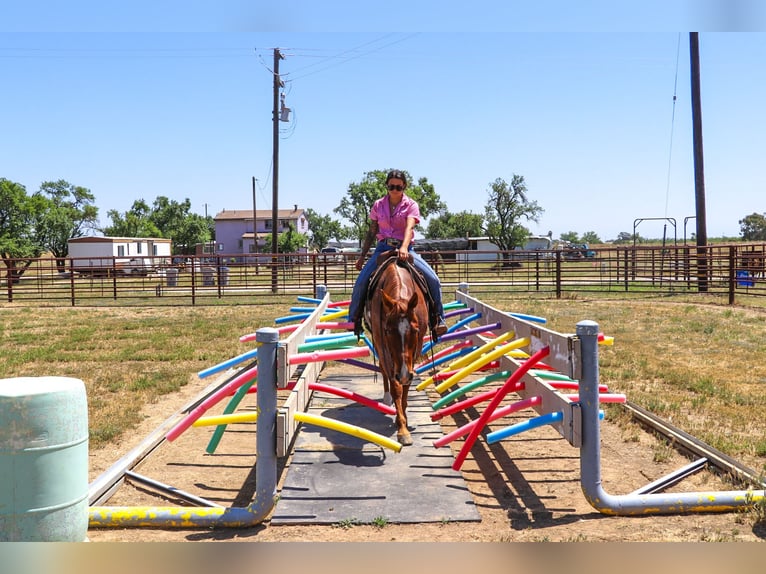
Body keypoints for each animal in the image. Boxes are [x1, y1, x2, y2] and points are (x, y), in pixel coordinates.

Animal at [366, 254, 432, 448]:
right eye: (388, 331)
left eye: (415, 330)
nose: (402, 373)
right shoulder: (383, 345)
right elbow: (396, 385)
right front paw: (402, 429)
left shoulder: (415, 349)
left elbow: (406, 385)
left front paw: (403, 417)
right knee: (384, 371)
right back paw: (387, 398)